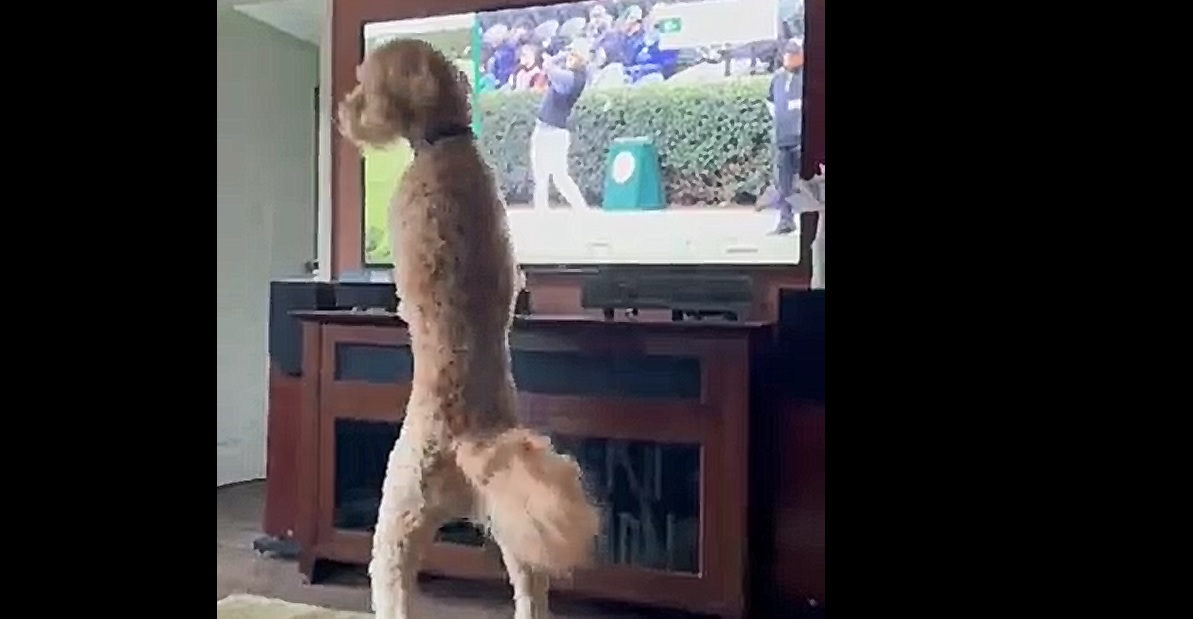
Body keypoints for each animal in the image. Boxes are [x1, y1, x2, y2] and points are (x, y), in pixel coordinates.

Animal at [336, 38, 601, 619]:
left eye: (368, 85)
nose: (342, 112)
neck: (446, 139)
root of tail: (470, 445)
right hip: (514, 530)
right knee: (531, 590)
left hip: (398, 514)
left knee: (392, 586)